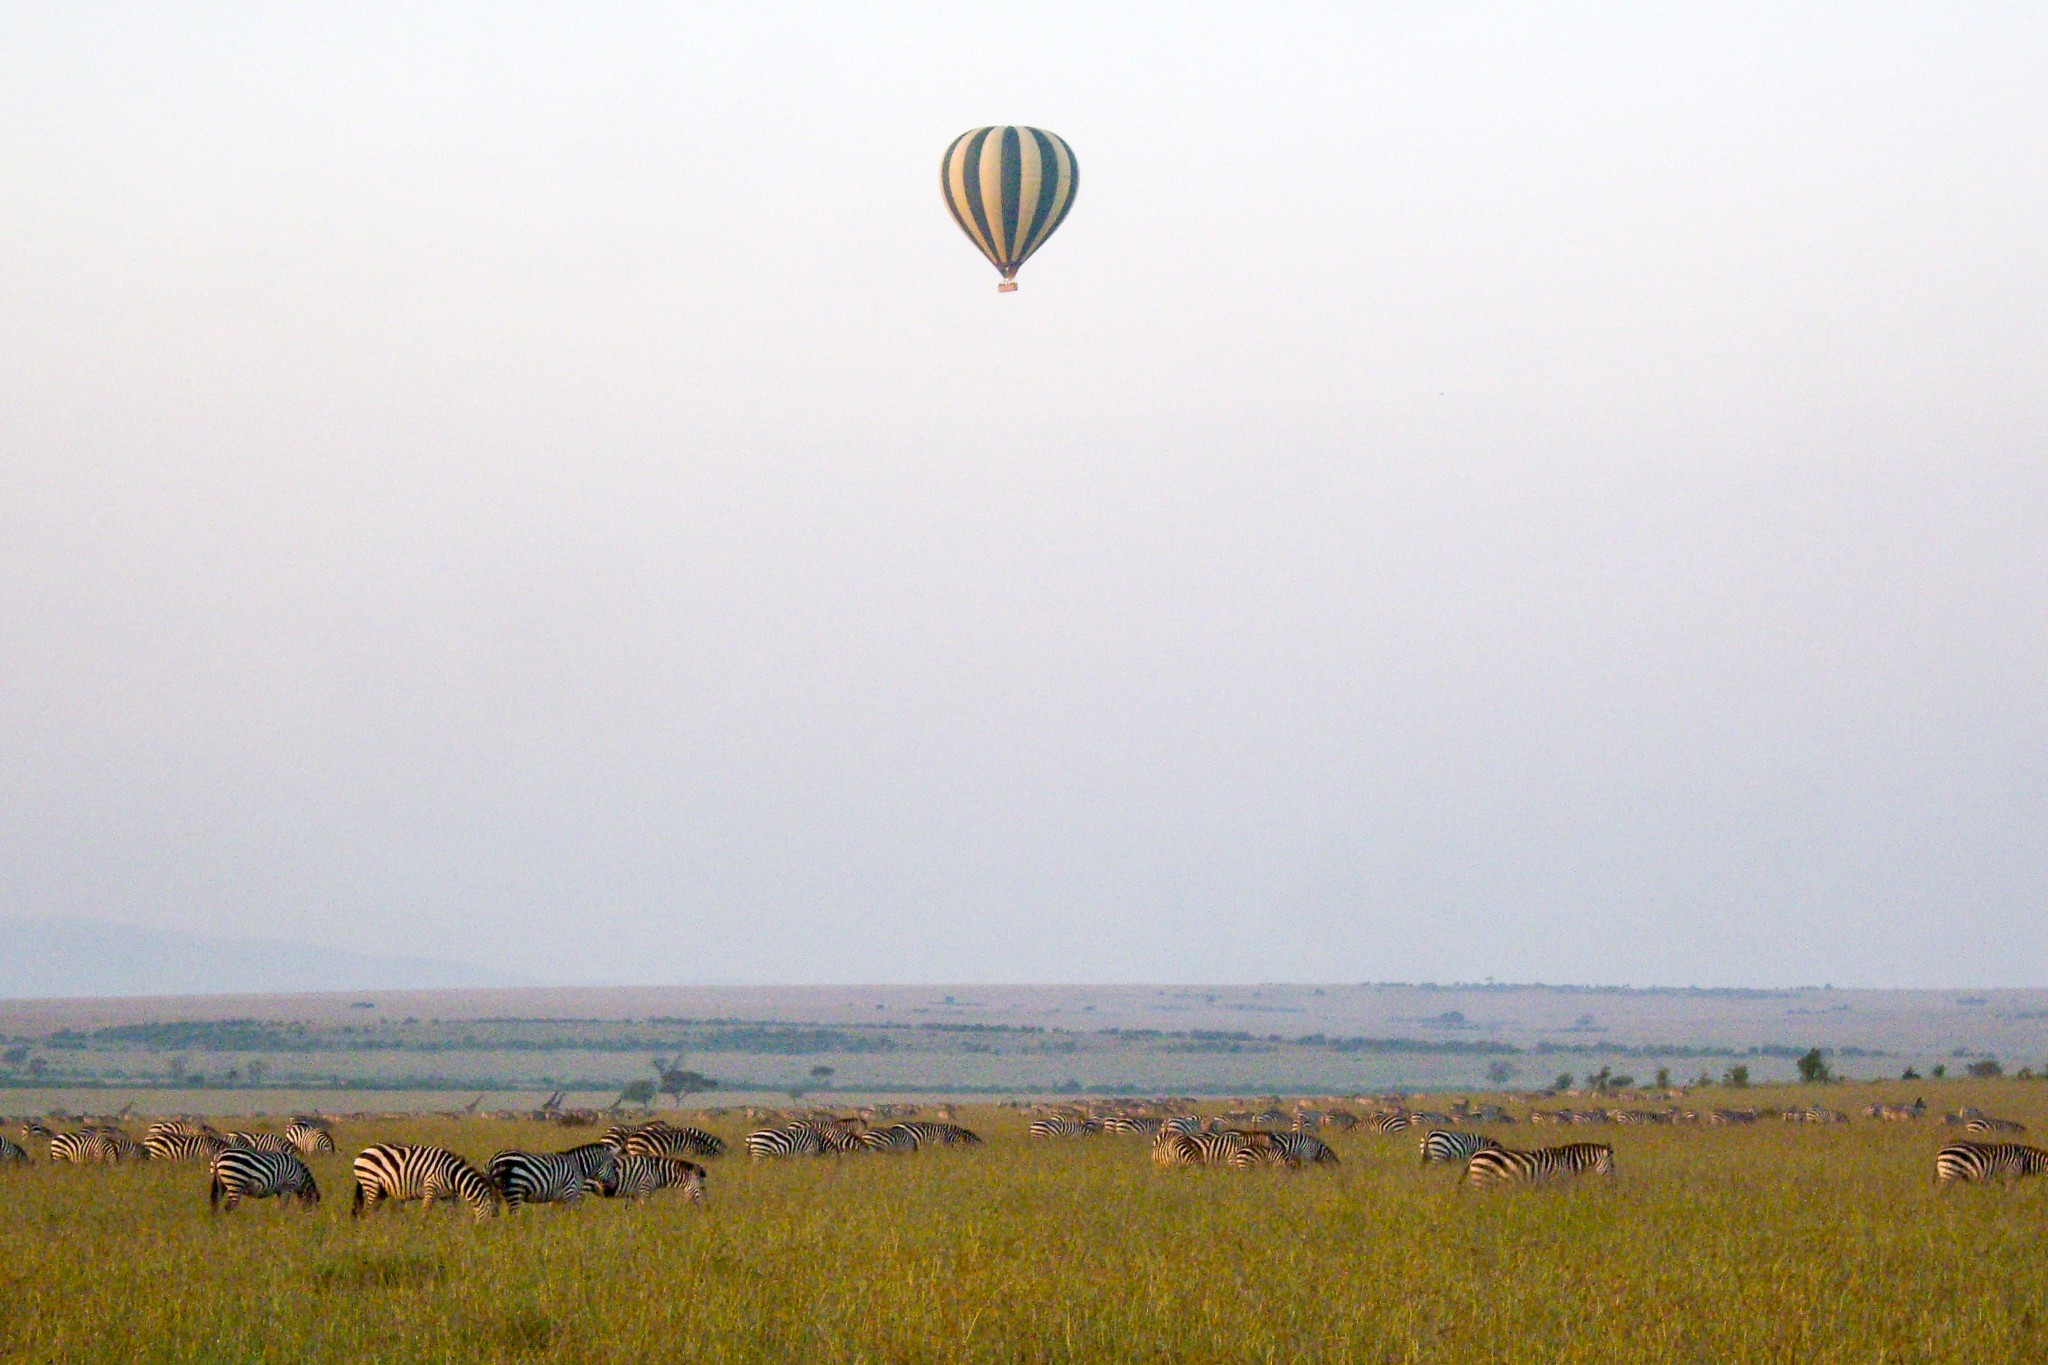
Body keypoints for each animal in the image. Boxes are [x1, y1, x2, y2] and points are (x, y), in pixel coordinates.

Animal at [350, 1146, 497, 1219]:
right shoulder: (430, 1188)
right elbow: (425, 1213)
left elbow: (452, 1215)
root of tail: (362, 1153)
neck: (451, 1175)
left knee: (372, 1211)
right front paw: (424, 1232)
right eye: (491, 1216)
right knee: (367, 1211)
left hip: (381, 1190)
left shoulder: (448, 1196)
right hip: (371, 1183)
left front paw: (450, 1232)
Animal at [1474, 1146, 1613, 1186]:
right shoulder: (1556, 1182)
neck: (1566, 1162)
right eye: (1612, 1165)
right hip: (1481, 1179)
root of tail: (1476, 1154)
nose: (1614, 1184)